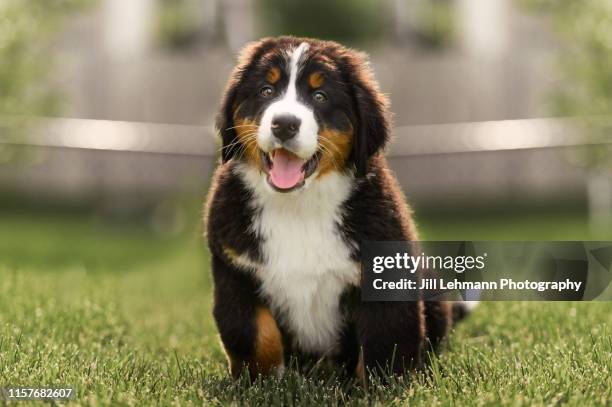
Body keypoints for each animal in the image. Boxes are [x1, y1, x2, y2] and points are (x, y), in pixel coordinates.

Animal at [203, 36, 466, 384]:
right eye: (266, 91)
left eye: (320, 96)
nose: (284, 124)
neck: (299, 206)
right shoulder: (235, 271)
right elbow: (253, 335)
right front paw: (260, 383)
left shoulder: (384, 274)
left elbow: (384, 343)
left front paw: (381, 387)